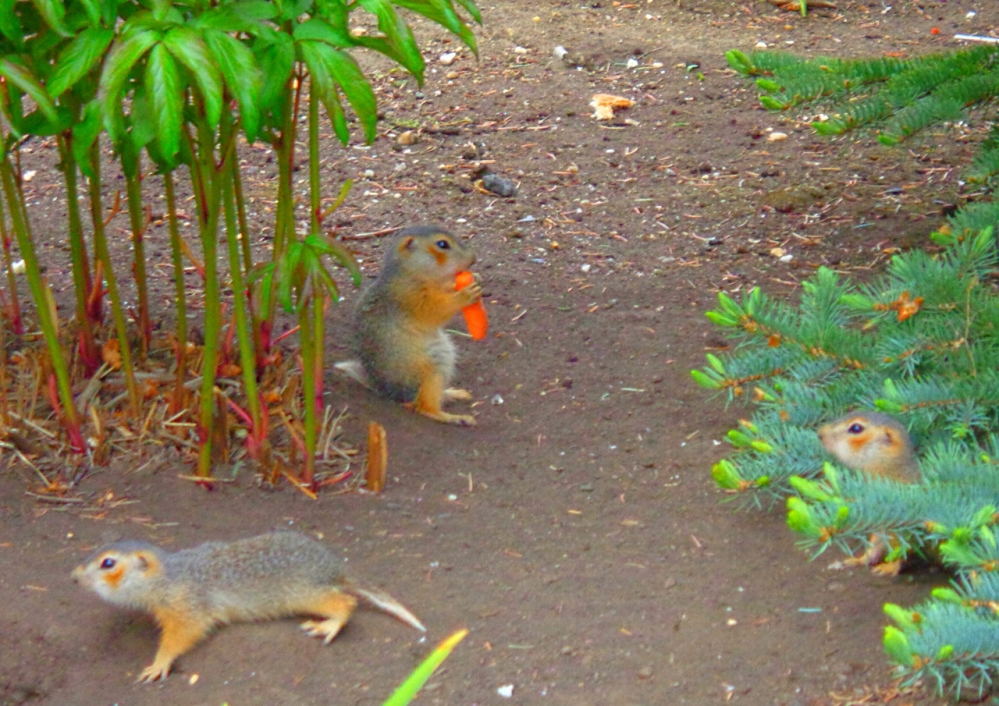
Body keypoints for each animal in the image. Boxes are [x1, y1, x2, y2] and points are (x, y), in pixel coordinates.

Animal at [73, 532, 426, 680]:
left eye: (108, 563)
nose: (74, 577)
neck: (168, 575)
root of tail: (335, 567)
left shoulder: (187, 608)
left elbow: (181, 637)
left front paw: (159, 663)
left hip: (304, 593)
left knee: (345, 601)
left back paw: (329, 624)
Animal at [336, 226, 484, 424]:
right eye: (442, 244)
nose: (473, 258)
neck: (411, 272)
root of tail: (392, 393)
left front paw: (475, 277)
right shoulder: (410, 297)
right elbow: (435, 309)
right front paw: (465, 293)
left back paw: (453, 393)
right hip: (430, 367)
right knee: (423, 406)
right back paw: (453, 417)